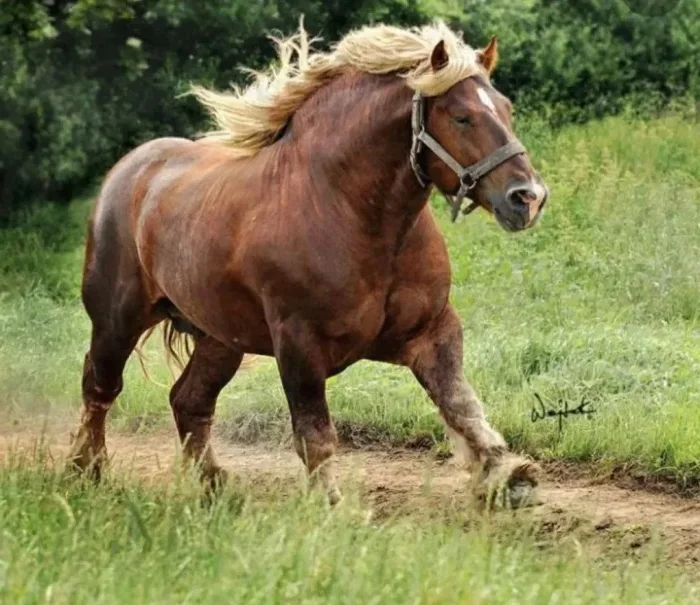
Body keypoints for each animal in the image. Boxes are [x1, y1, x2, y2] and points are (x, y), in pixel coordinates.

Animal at [69, 20, 549, 508]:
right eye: (461, 117)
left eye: (506, 108)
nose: (527, 198)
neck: (353, 214)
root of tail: (129, 170)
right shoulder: (299, 343)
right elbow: (314, 432)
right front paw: (332, 506)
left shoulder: (432, 330)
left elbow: (461, 405)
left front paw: (508, 474)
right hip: (118, 319)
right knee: (100, 387)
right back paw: (86, 472)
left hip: (220, 339)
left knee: (188, 400)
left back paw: (216, 486)